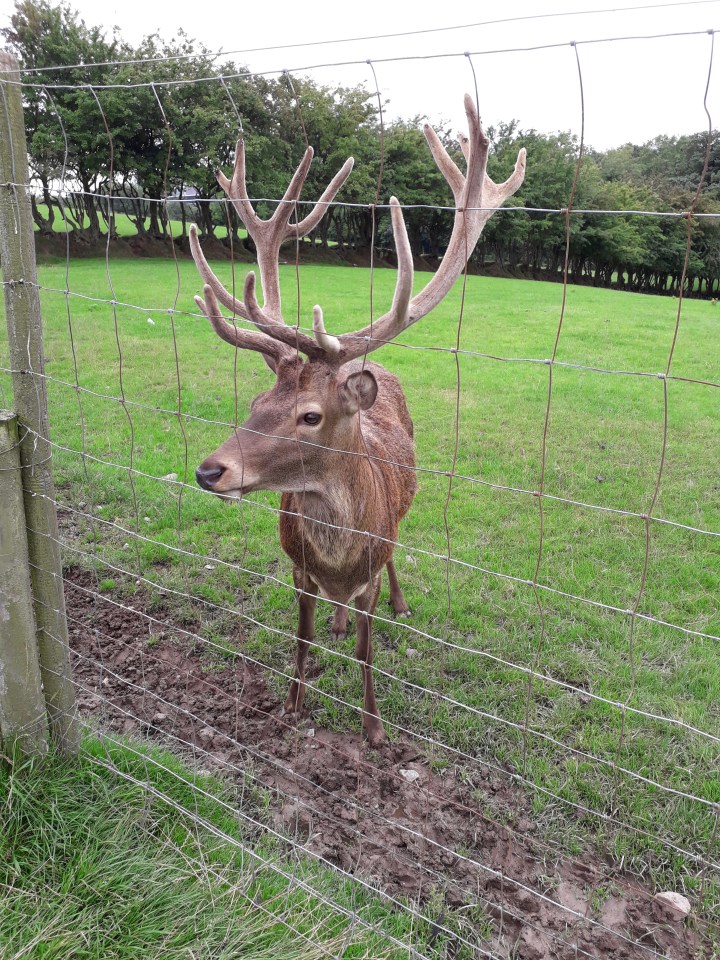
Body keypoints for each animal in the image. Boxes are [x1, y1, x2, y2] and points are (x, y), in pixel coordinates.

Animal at [191, 95, 526, 746]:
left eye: (310, 415)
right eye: (254, 404)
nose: (210, 470)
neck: (337, 560)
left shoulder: (370, 563)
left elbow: (369, 652)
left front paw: (372, 729)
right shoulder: (297, 570)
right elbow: (301, 640)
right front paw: (292, 704)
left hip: (402, 515)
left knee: (394, 562)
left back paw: (398, 605)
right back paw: (339, 620)